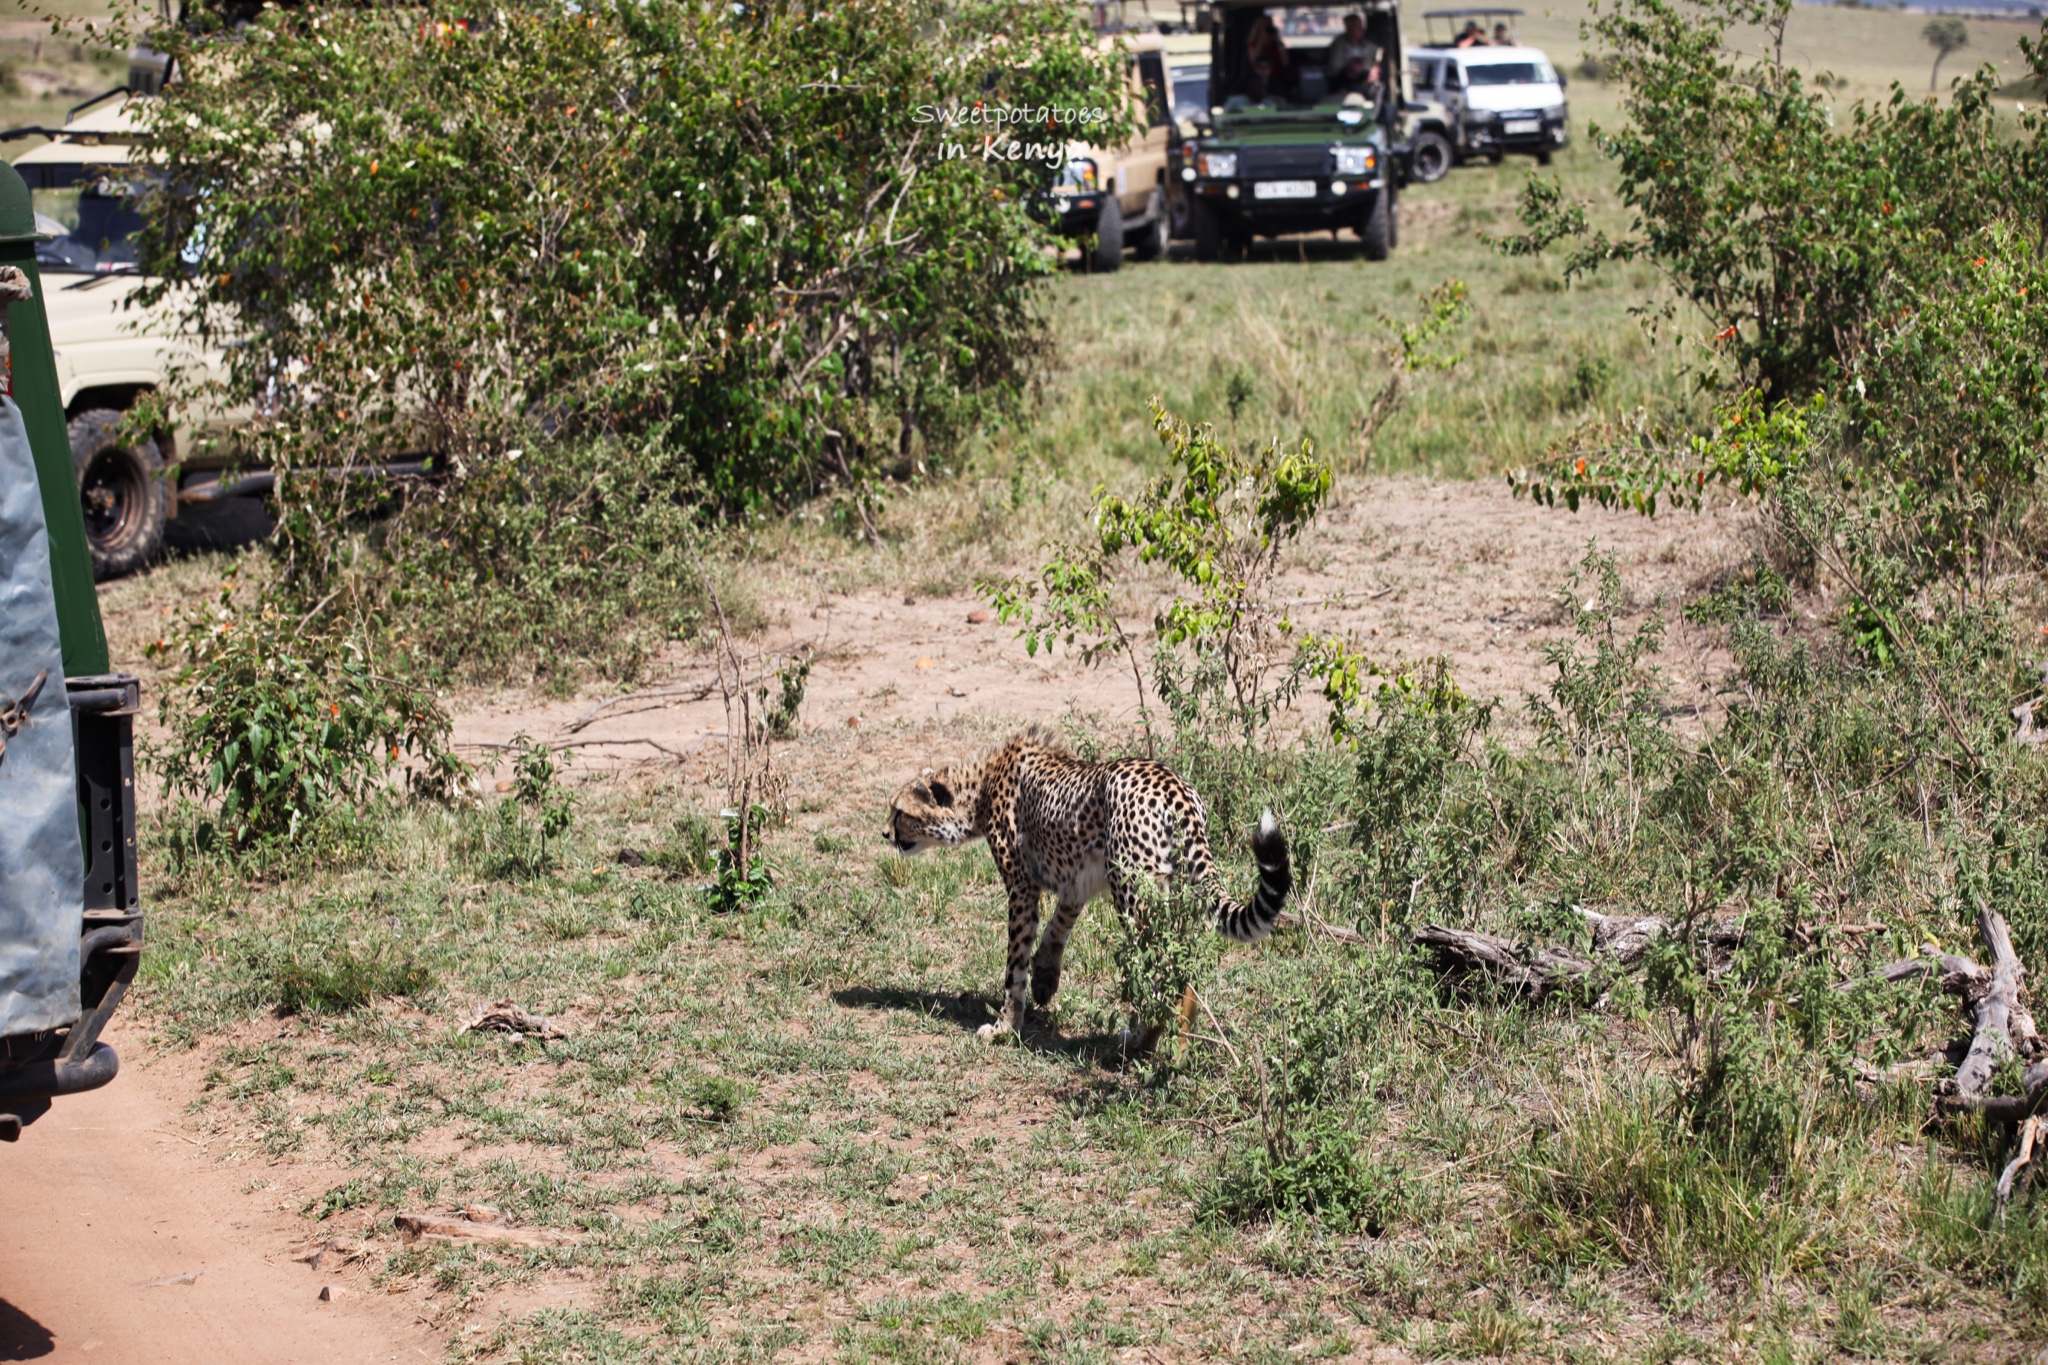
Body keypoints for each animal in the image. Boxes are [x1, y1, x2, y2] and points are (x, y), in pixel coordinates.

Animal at [884, 724, 1294, 1047]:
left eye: (899, 811)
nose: (885, 833)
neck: (982, 786)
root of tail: (1174, 787)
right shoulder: (1077, 883)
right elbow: (1055, 930)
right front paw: (1045, 981)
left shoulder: (1022, 887)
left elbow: (1015, 962)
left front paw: (1005, 1026)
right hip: (1172, 892)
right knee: (1181, 963)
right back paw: (1178, 1039)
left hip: (1132, 894)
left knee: (1159, 970)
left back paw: (1140, 1041)